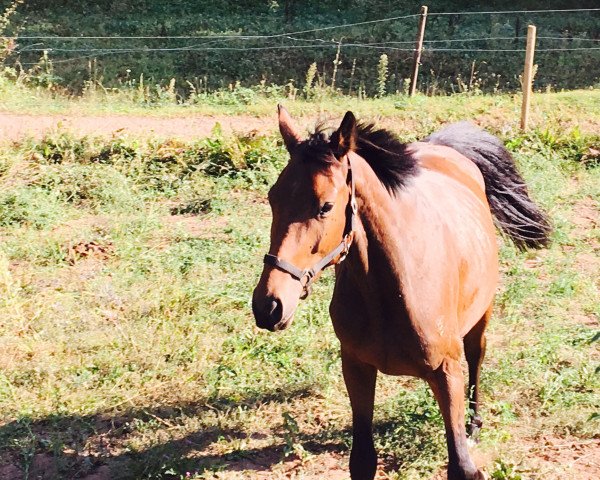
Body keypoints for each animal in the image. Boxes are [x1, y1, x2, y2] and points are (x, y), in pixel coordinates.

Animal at [251, 107, 552, 478]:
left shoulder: (447, 373)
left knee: (477, 359)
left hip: (481, 318)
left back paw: (474, 424)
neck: (394, 292)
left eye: (325, 206)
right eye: (272, 197)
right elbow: (363, 460)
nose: (268, 306)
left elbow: (461, 464)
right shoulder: (356, 367)